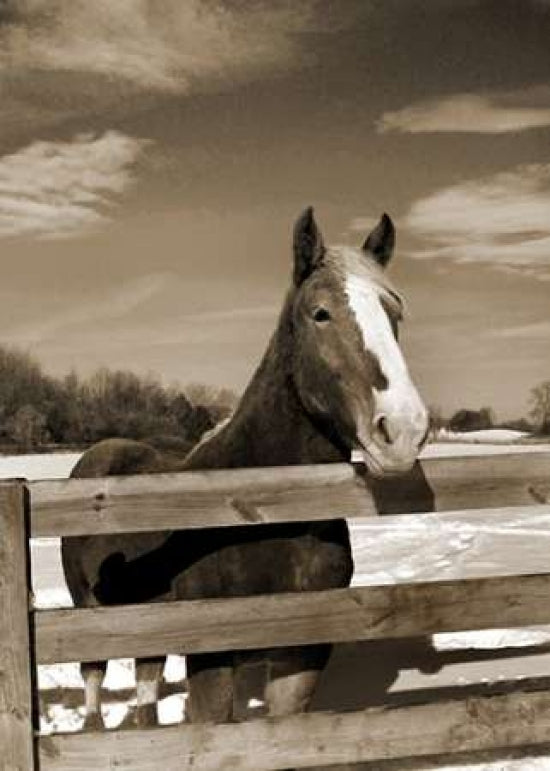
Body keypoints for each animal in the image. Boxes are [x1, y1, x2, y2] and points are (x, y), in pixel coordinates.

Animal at [61, 208, 432, 732]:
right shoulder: (212, 657)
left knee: (147, 684)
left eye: (393, 313)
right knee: (93, 678)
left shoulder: (302, 654)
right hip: (88, 610)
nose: (401, 429)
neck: (265, 517)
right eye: (320, 313)